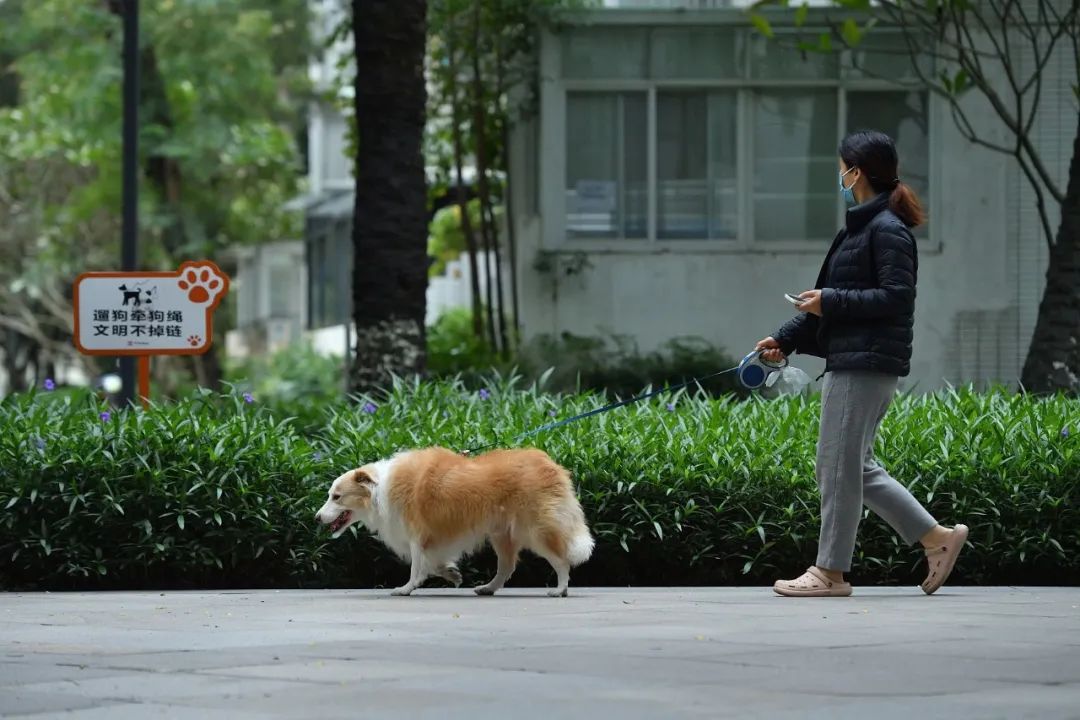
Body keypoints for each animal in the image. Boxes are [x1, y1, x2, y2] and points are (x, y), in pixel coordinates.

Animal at [313, 451, 600, 595]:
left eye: (336, 496)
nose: (316, 517)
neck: (378, 489)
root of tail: (552, 466)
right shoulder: (432, 539)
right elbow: (433, 562)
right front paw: (451, 573)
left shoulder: (417, 534)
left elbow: (417, 566)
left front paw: (406, 588)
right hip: (502, 534)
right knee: (506, 567)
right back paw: (487, 588)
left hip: (536, 529)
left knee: (560, 559)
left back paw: (560, 589)